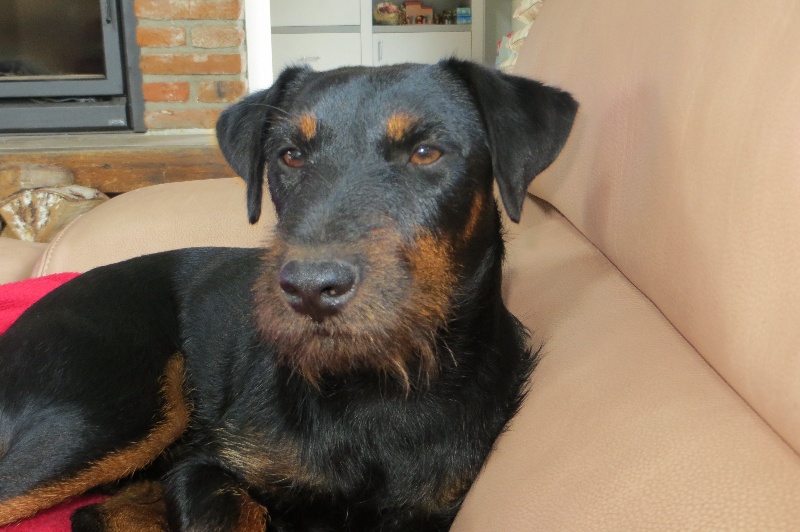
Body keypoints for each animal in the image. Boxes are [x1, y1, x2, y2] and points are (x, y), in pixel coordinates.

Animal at [0, 59, 577, 531]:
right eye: (291, 155)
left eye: (425, 152)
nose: (309, 290)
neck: (375, 387)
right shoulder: (204, 467)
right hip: (104, 413)